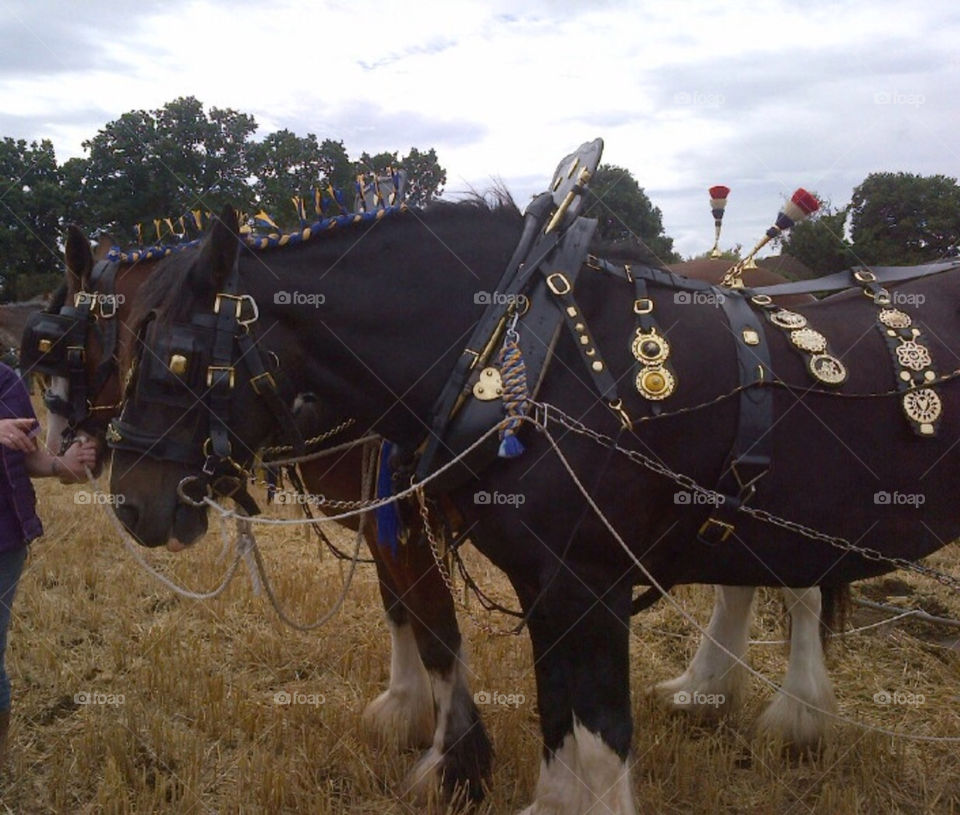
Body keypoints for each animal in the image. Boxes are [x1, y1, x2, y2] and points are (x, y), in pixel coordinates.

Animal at [103, 198, 960, 814]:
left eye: (174, 352)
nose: (127, 501)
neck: (526, 354)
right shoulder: (539, 581)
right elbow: (555, 710)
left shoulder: (587, 582)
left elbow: (598, 724)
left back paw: (787, 715)